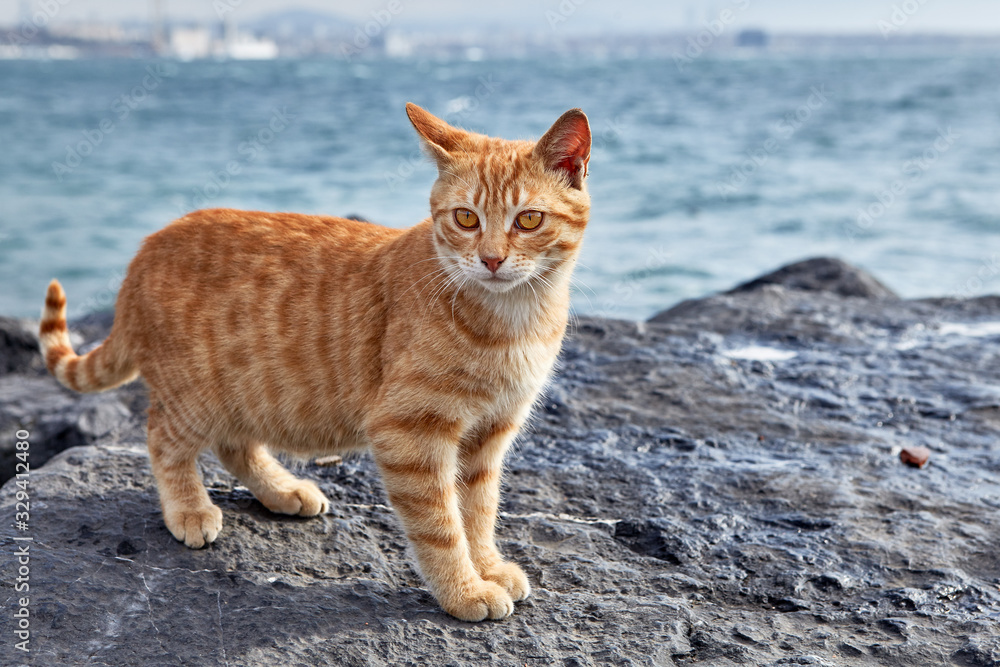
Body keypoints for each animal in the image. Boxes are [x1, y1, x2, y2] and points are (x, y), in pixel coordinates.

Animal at [39, 103, 588, 620]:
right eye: (466, 218)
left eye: (529, 219)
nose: (492, 260)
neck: (514, 320)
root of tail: (146, 248)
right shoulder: (410, 432)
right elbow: (441, 524)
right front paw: (464, 590)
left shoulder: (489, 436)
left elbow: (478, 512)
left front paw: (488, 566)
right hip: (195, 394)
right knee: (163, 440)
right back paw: (190, 509)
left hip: (248, 389)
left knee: (235, 446)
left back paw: (282, 490)